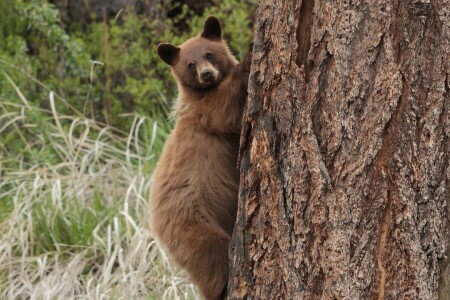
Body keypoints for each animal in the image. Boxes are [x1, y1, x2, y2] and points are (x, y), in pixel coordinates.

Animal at [149, 15, 251, 300]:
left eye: (209, 54)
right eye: (190, 64)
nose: (207, 74)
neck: (203, 91)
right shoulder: (205, 112)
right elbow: (225, 107)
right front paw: (249, 59)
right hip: (195, 228)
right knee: (213, 260)